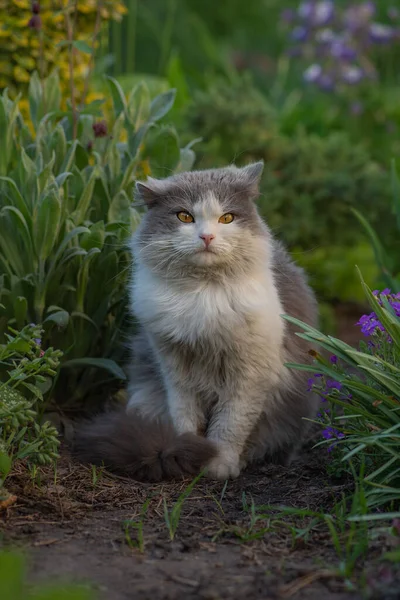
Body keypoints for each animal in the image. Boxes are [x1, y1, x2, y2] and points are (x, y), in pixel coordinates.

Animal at [74, 161, 318, 482]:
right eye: (184, 216)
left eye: (227, 218)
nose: (207, 237)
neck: (203, 296)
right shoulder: (175, 368)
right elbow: (185, 418)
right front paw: (189, 451)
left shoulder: (248, 376)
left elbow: (230, 426)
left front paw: (219, 465)